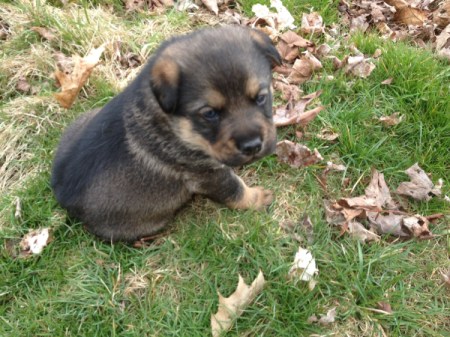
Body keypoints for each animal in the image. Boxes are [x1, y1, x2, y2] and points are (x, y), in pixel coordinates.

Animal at [50, 26, 282, 242]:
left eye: (261, 97)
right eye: (209, 113)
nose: (253, 146)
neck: (175, 124)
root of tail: (62, 197)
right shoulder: (207, 174)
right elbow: (236, 190)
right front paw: (257, 198)